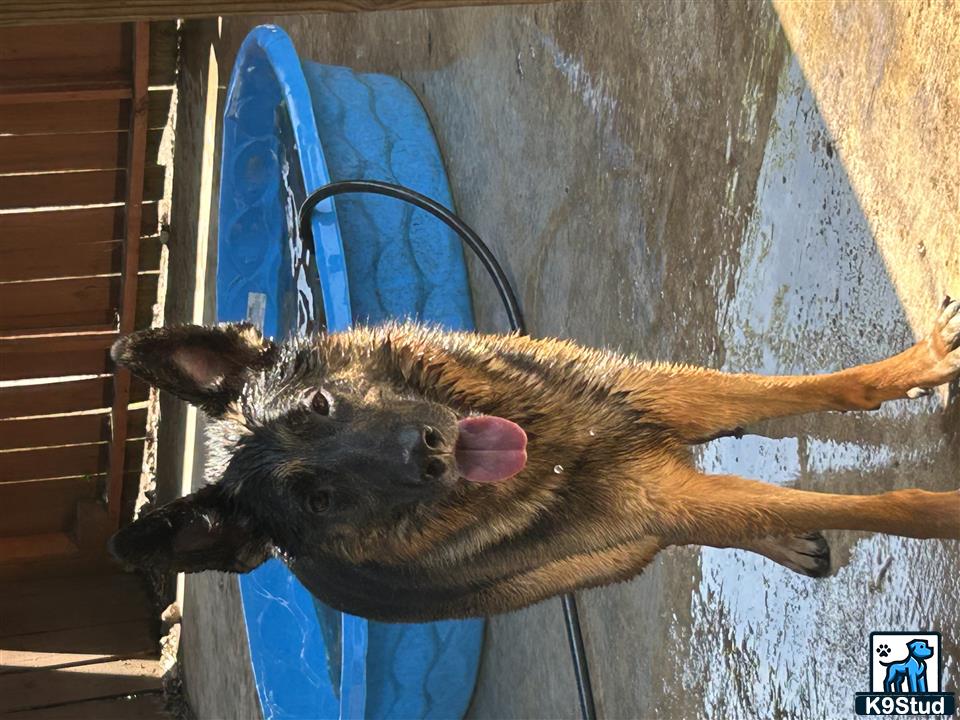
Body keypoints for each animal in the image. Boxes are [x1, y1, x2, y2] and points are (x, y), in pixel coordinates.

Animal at [107, 300, 960, 620]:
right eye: (319, 499)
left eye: (317, 406)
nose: (428, 452)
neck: (552, 452)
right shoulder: (667, 494)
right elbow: (887, 505)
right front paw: (946, 510)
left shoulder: (660, 394)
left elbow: (817, 388)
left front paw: (915, 364)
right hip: (601, 558)